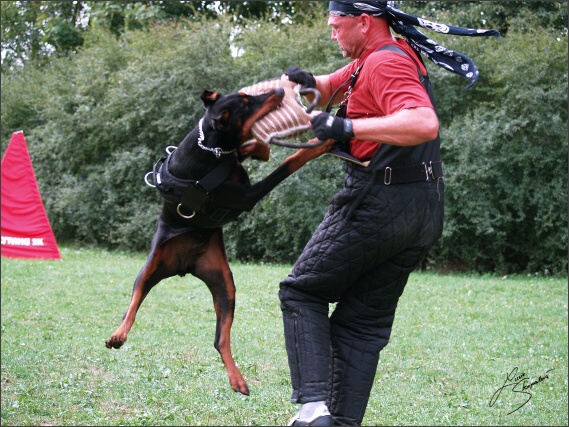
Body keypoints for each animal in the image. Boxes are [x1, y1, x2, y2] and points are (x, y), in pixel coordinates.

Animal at [104, 88, 330, 398]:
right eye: (246, 104)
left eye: (249, 95)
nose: (279, 90)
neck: (210, 148)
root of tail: (183, 266)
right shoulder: (247, 196)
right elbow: (289, 163)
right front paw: (320, 143)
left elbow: (253, 149)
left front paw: (257, 148)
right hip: (152, 266)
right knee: (133, 304)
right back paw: (118, 334)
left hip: (224, 284)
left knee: (220, 340)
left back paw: (238, 381)